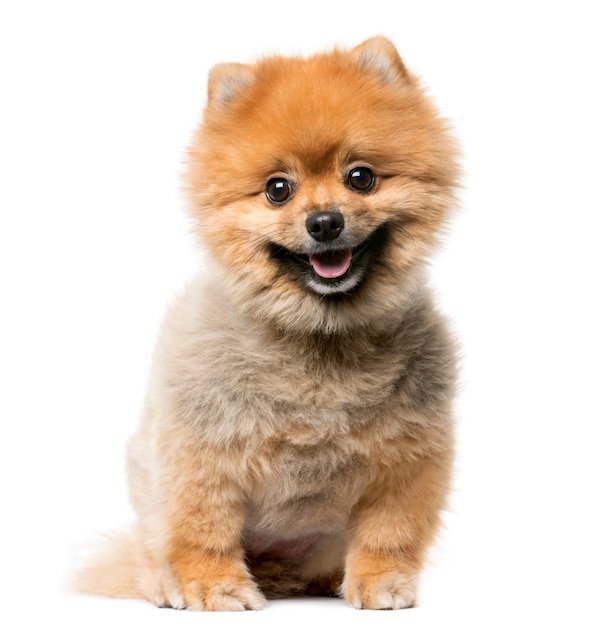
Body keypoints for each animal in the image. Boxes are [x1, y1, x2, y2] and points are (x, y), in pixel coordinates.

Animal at [76, 35, 460, 608]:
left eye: (361, 177)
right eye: (278, 189)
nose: (324, 222)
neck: (319, 337)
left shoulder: (406, 459)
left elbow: (388, 532)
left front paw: (382, 583)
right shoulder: (203, 451)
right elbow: (202, 529)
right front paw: (216, 588)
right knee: (151, 551)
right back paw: (169, 585)